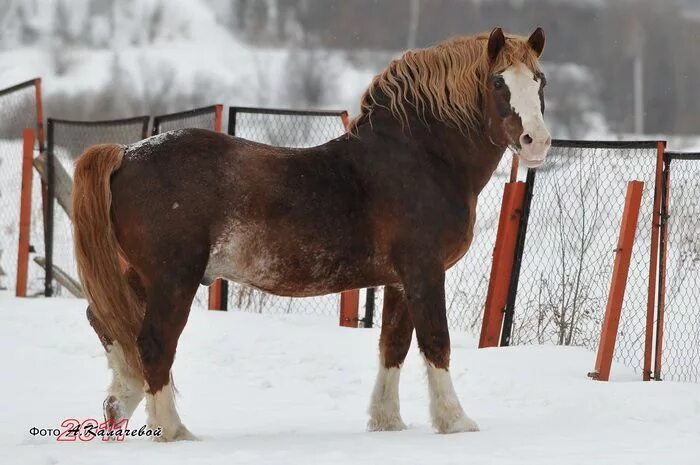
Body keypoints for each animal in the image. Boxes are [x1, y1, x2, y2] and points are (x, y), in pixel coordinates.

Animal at [72, 27, 552, 440]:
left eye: (539, 79)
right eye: (497, 82)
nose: (537, 142)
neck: (421, 158)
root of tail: (126, 153)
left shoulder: (399, 281)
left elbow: (392, 346)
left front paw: (387, 423)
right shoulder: (424, 271)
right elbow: (436, 342)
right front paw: (455, 422)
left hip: (140, 276)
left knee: (105, 321)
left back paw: (120, 402)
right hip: (173, 279)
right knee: (154, 343)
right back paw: (173, 430)